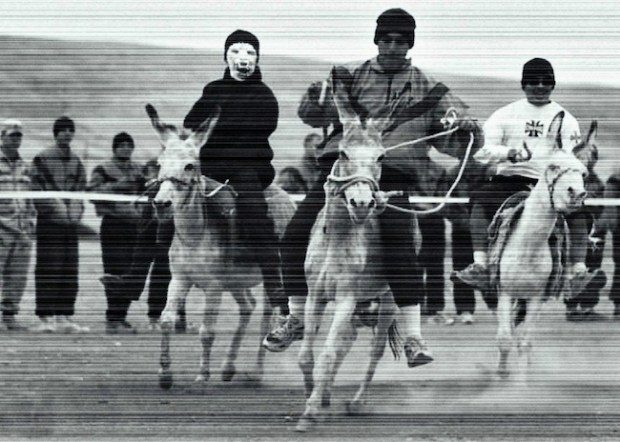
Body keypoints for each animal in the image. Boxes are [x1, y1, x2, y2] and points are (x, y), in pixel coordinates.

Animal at [144, 104, 295, 389]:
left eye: (190, 166)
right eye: (159, 164)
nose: (161, 204)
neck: (194, 236)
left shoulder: (213, 287)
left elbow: (207, 331)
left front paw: (202, 376)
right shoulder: (180, 279)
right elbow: (167, 320)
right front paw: (164, 374)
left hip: (272, 273)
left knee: (265, 317)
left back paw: (255, 374)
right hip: (235, 281)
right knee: (247, 307)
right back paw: (227, 368)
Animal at [493, 112, 593, 382]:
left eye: (583, 173)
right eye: (553, 166)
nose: (576, 194)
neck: (528, 248)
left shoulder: (538, 296)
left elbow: (524, 342)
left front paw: (521, 383)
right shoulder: (505, 292)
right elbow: (504, 339)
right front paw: (502, 375)